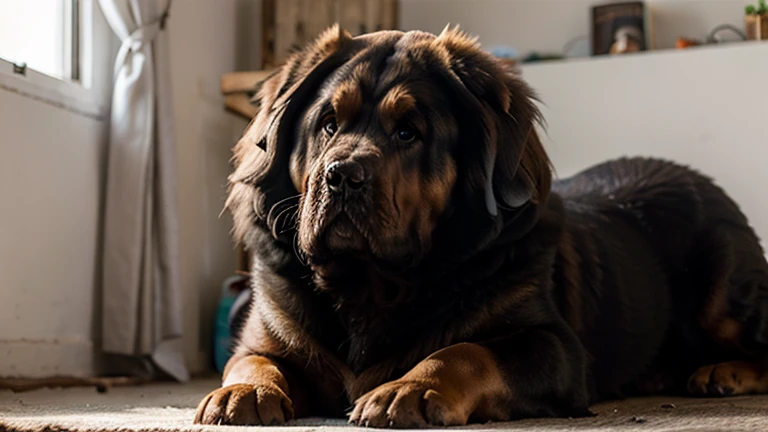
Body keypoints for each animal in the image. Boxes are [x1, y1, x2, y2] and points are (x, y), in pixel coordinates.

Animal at [194, 27, 768, 428]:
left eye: (408, 132)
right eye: (328, 124)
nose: (343, 176)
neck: (370, 287)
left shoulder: (554, 347)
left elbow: (465, 351)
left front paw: (405, 389)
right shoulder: (269, 336)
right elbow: (250, 361)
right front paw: (241, 392)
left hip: (722, 295)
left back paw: (722, 372)